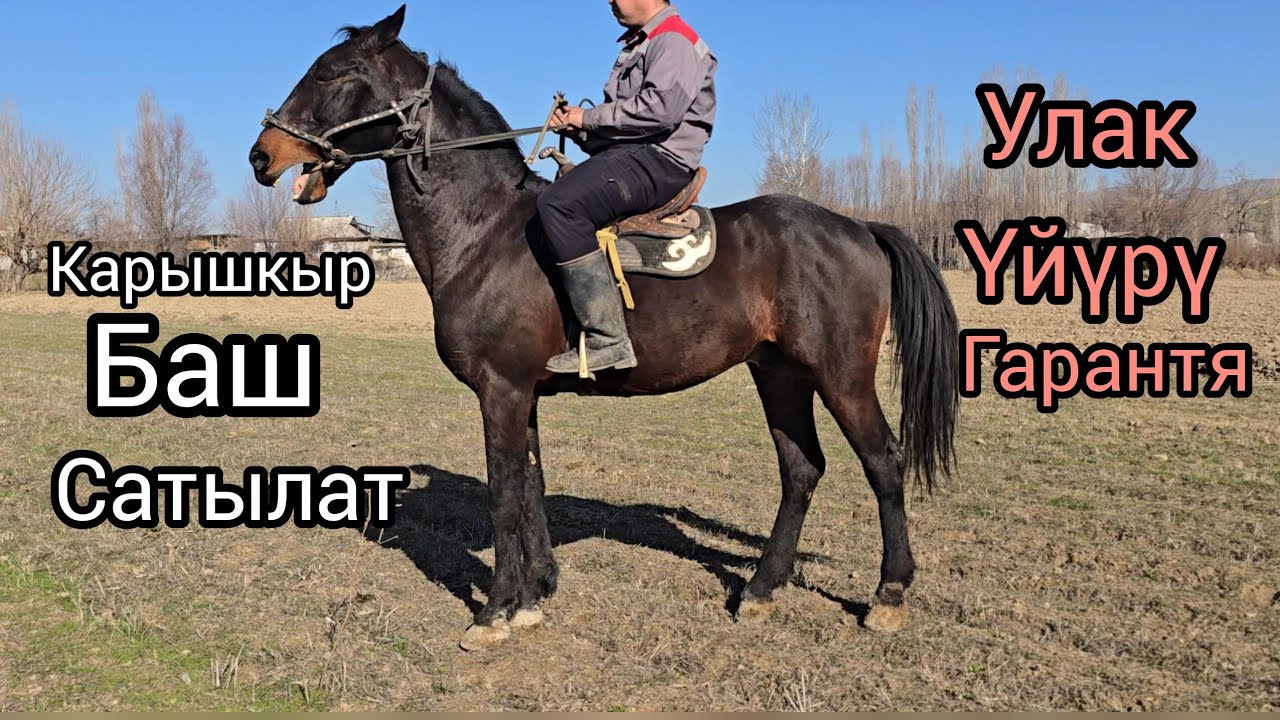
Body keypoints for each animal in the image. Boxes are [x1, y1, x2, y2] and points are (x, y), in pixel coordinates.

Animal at [249, 6, 959, 651]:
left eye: (332, 73)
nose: (262, 155)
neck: (486, 231)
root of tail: (859, 226)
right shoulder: (523, 395)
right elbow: (530, 488)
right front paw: (534, 596)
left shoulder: (501, 391)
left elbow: (504, 496)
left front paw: (494, 612)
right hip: (779, 375)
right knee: (801, 469)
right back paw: (760, 590)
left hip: (841, 376)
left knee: (883, 461)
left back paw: (888, 596)